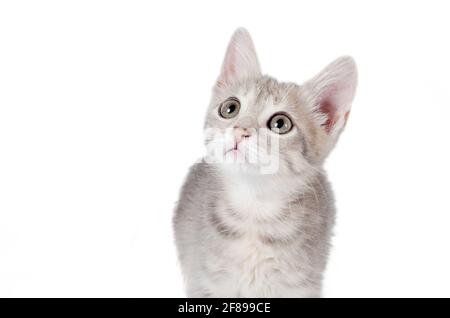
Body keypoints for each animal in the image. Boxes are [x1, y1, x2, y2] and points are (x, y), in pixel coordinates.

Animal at [173, 28, 358, 298]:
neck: (254, 211)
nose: (240, 130)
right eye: (230, 108)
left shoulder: (301, 285)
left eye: (280, 123)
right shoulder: (208, 281)